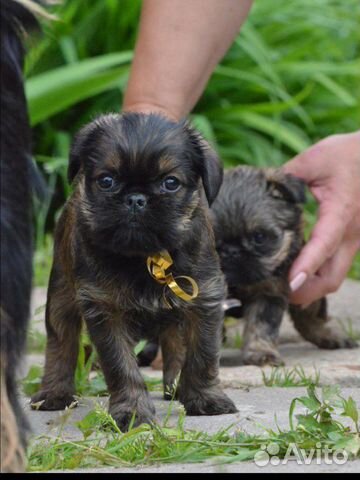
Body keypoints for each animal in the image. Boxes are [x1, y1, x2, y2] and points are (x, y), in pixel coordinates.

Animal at [31, 113, 238, 432]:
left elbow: (202, 355)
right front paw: (131, 412)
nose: (135, 199)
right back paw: (54, 392)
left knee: (174, 343)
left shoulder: (204, 300)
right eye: (106, 181)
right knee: (61, 343)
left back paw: (175, 386)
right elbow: (121, 366)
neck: (143, 257)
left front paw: (205, 399)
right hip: (61, 297)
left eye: (170, 182)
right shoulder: (105, 310)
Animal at [211, 167, 358, 366]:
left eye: (259, 237)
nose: (231, 251)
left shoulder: (269, 293)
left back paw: (329, 335)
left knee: (310, 317)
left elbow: (262, 325)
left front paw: (261, 352)